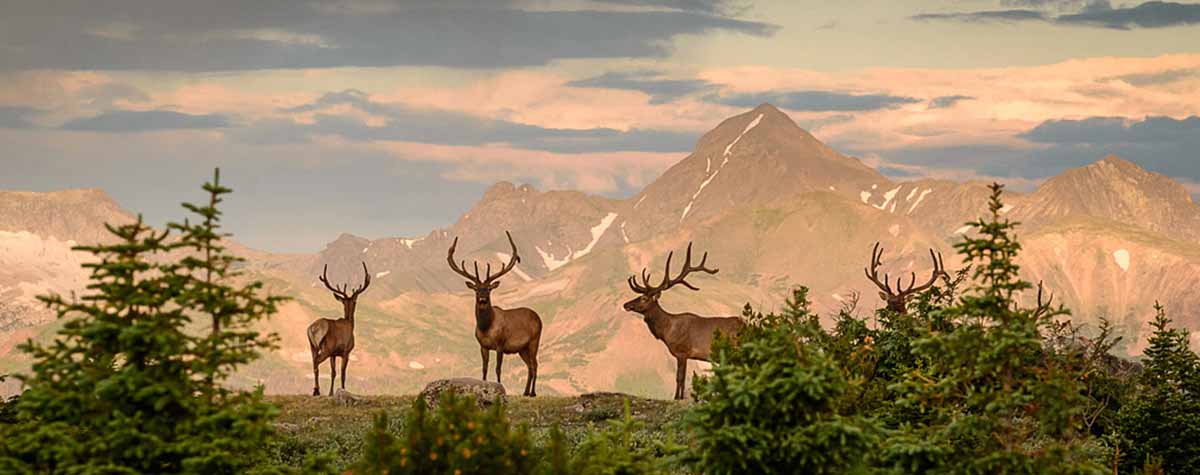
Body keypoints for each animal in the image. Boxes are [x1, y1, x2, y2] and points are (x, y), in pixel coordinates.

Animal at [307, 262, 371, 397]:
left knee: (314, 362)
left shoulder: (334, 354)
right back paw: (316, 390)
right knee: (317, 362)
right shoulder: (346, 351)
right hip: (326, 347)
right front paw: (343, 389)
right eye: (355, 302)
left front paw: (331, 392)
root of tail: (313, 328)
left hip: (312, 346)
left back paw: (316, 390)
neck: (351, 324)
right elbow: (343, 373)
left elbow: (333, 372)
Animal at [447, 231, 543, 397]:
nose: (482, 299)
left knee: (535, 364)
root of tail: (539, 318)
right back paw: (525, 392)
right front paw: (484, 387)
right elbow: (484, 368)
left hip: (534, 340)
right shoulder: (482, 346)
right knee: (530, 366)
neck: (486, 327)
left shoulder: (500, 344)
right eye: (476, 289)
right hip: (522, 349)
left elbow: (498, 368)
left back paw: (532, 393)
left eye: (488, 289)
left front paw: (500, 388)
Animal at [622, 243, 744, 400]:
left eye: (644, 298)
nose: (626, 305)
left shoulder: (682, 351)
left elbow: (680, 377)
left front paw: (677, 397)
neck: (667, 330)